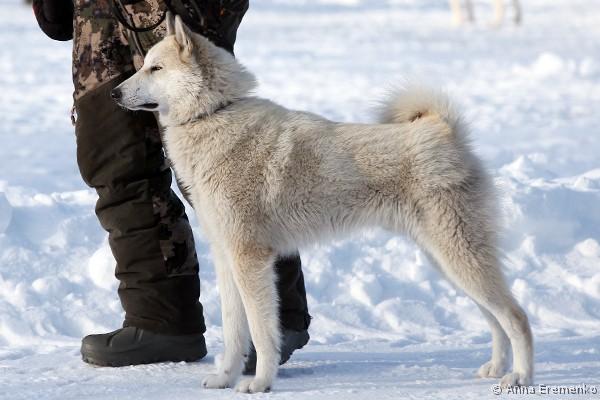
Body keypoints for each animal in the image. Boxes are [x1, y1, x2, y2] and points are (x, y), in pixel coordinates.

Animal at [112, 13, 534, 393]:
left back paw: (520, 377)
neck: (214, 113)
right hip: (447, 262)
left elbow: (263, 333)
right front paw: (225, 378)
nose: (113, 93)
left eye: (155, 68)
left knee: (516, 317)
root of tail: (443, 130)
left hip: (459, 256)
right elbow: (234, 333)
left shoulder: (251, 259)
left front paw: (260, 382)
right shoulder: (227, 259)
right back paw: (496, 368)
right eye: (145, 65)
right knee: (494, 319)